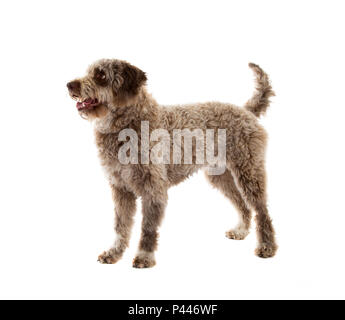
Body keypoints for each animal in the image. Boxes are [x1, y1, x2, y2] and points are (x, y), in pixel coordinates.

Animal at [67, 59, 276, 268]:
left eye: (101, 75)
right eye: (88, 72)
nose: (70, 85)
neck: (128, 124)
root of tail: (246, 111)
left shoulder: (153, 190)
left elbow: (148, 228)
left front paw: (144, 256)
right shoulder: (121, 189)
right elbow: (121, 226)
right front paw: (114, 253)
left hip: (249, 173)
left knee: (261, 210)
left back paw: (267, 246)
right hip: (220, 177)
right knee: (243, 205)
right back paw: (241, 230)